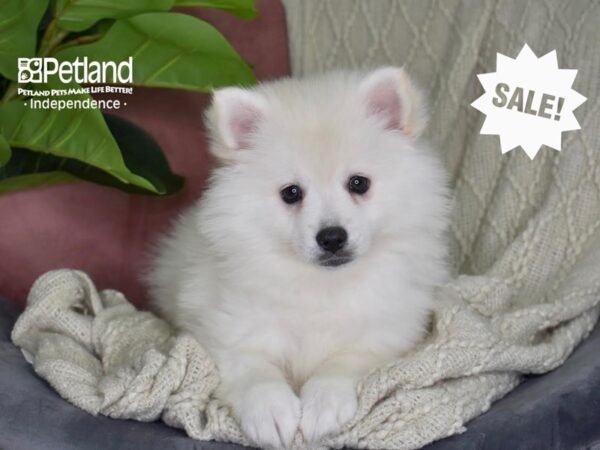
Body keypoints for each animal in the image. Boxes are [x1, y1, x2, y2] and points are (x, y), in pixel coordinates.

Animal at [149, 67, 450, 450]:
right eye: (291, 193)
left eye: (359, 183)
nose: (332, 237)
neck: (321, 284)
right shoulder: (229, 330)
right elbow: (255, 369)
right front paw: (270, 411)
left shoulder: (386, 334)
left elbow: (344, 362)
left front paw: (323, 403)